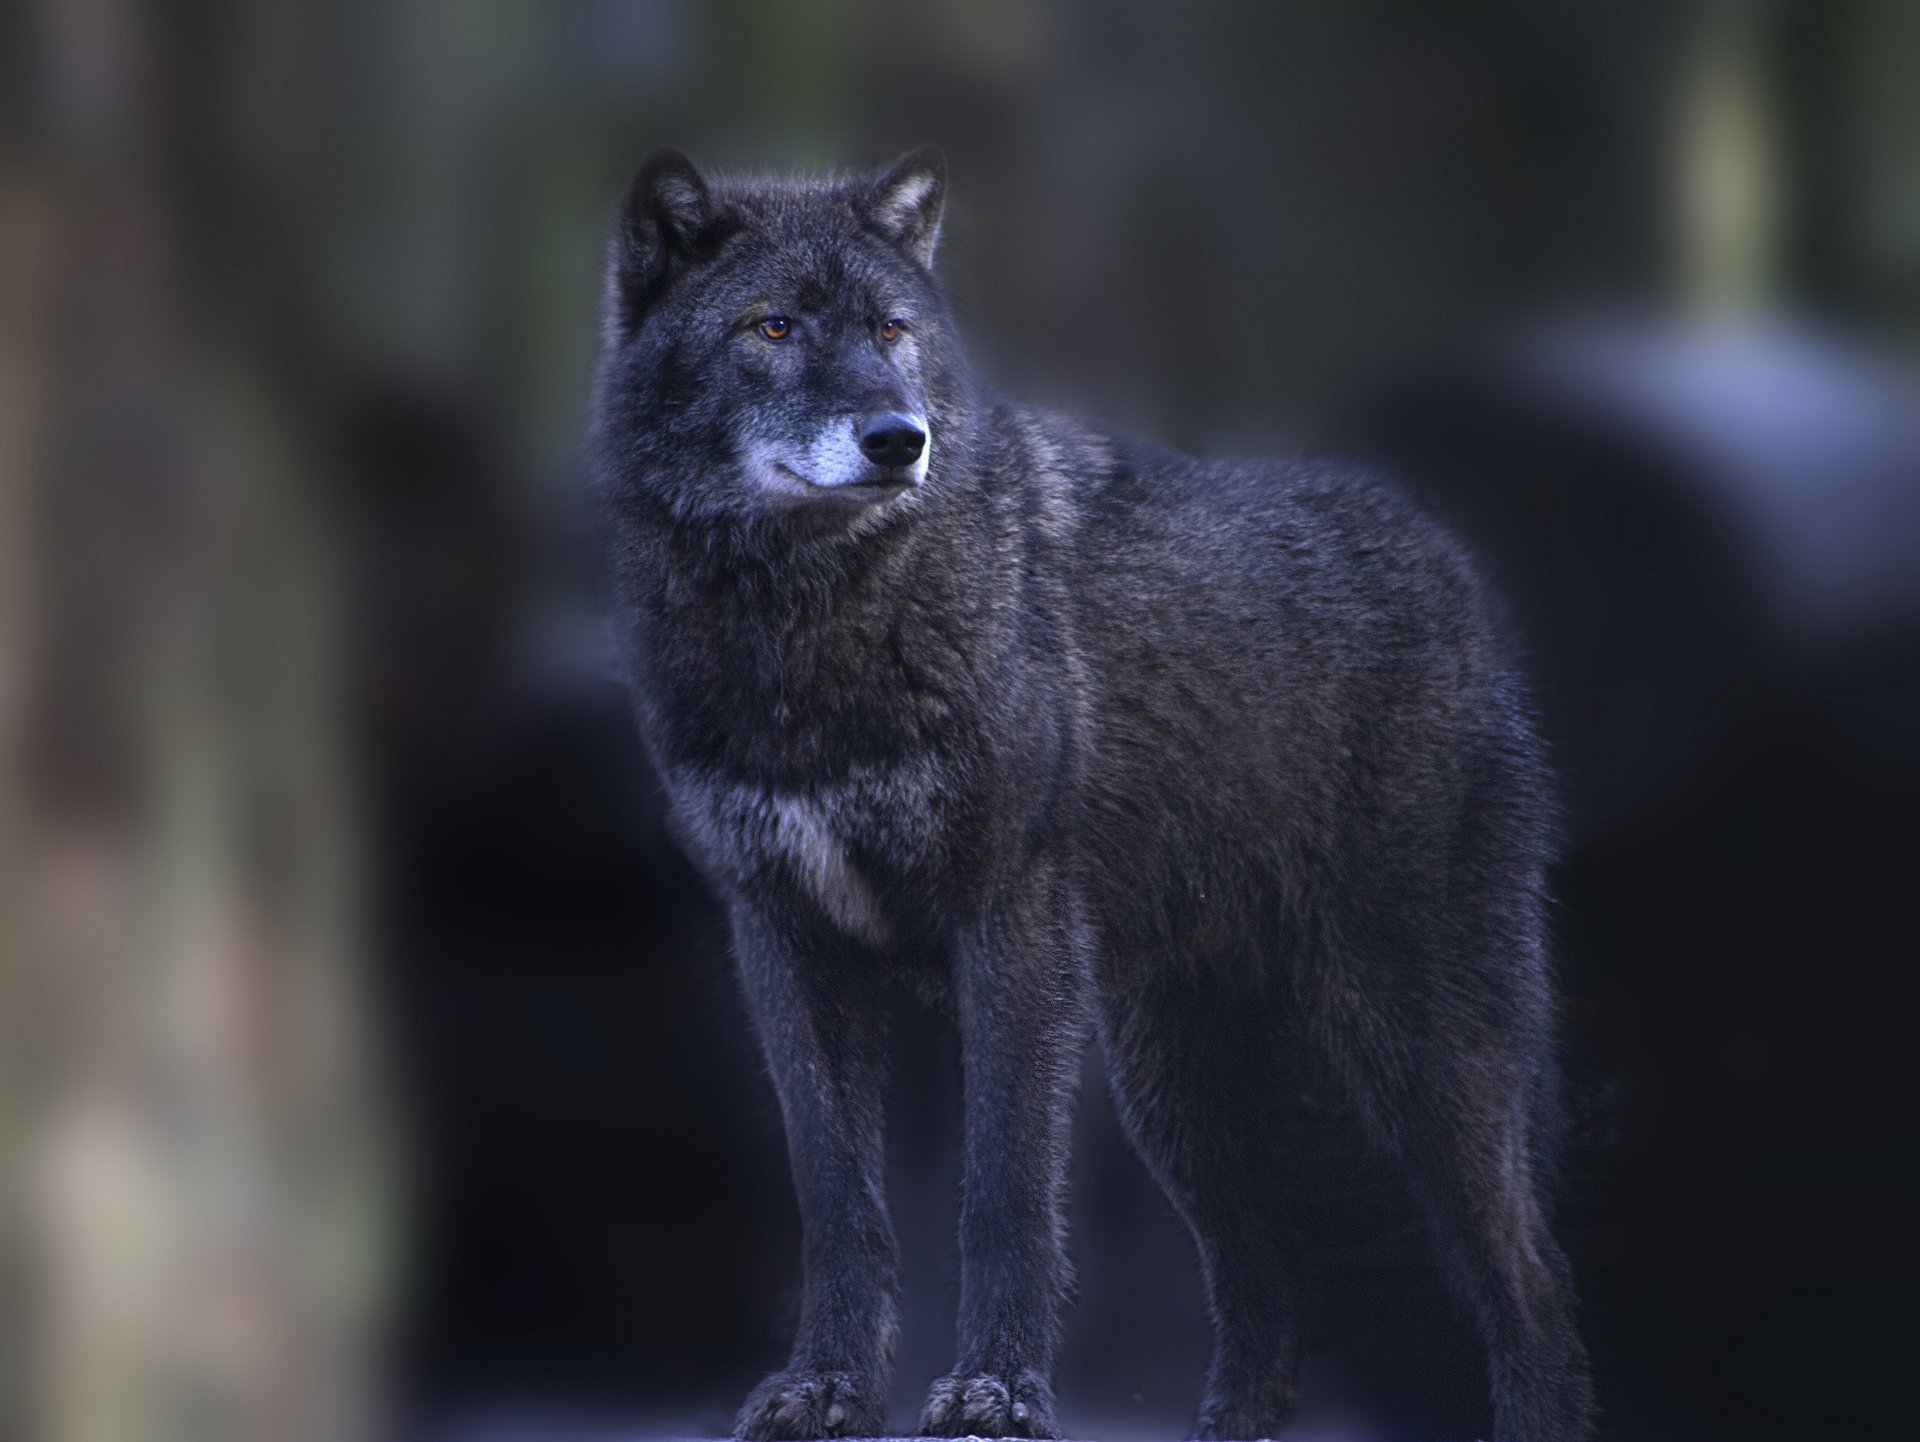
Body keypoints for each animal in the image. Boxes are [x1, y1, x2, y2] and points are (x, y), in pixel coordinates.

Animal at [589, 146, 1595, 1442]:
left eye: (893, 330)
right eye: (773, 327)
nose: (899, 439)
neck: (807, 631)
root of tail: (1447, 556)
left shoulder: (1006, 923)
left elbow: (1005, 1191)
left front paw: (994, 1392)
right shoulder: (783, 940)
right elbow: (837, 1202)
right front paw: (822, 1387)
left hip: (1417, 1052)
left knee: (1529, 1273)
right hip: (1181, 1091)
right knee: (1271, 1278)